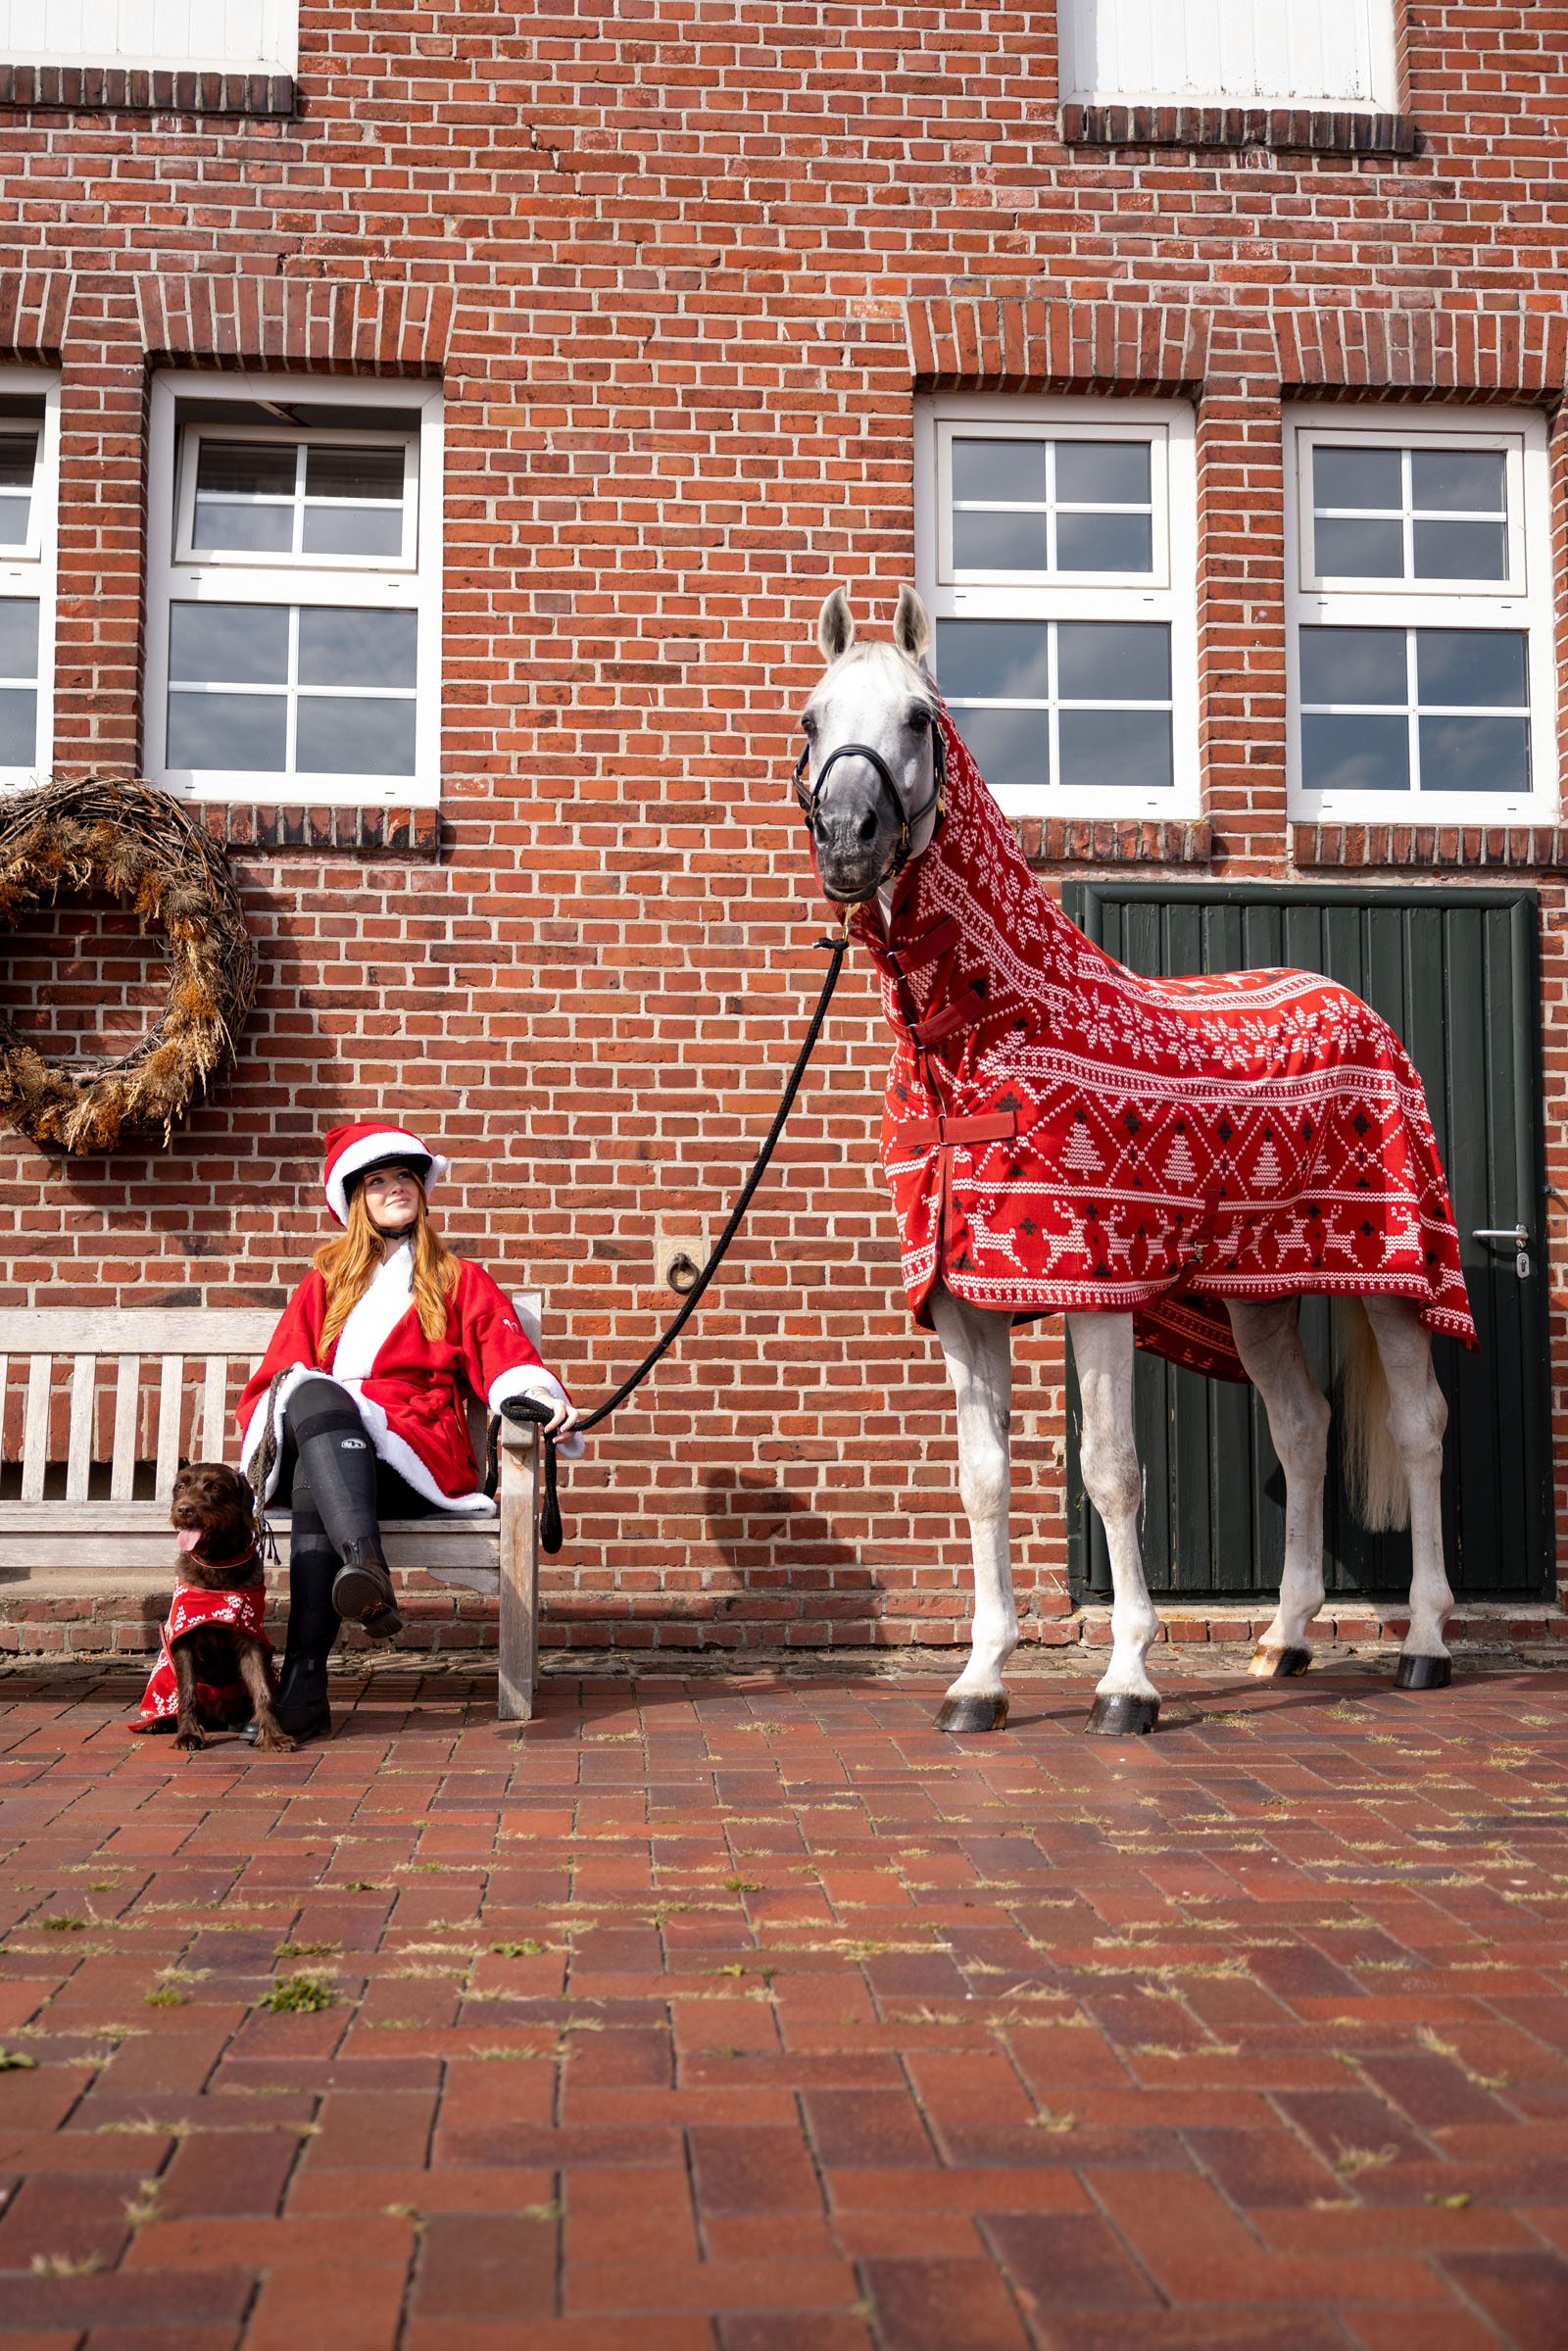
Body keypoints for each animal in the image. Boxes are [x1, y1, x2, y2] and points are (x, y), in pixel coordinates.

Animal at [795, 585, 1475, 1736]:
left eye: (920, 720)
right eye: (811, 721)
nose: (848, 835)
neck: (982, 1036)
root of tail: (1362, 1011)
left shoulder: (1096, 1291)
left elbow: (1113, 1470)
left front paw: (1127, 1679)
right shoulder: (966, 1303)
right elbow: (983, 1479)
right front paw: (980, 1678)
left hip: (1390, 1277)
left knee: (1421, 1428)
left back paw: (1425, 1642)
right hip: (1256, 1291)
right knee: (1302, 1426)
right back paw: (1285, 1639)